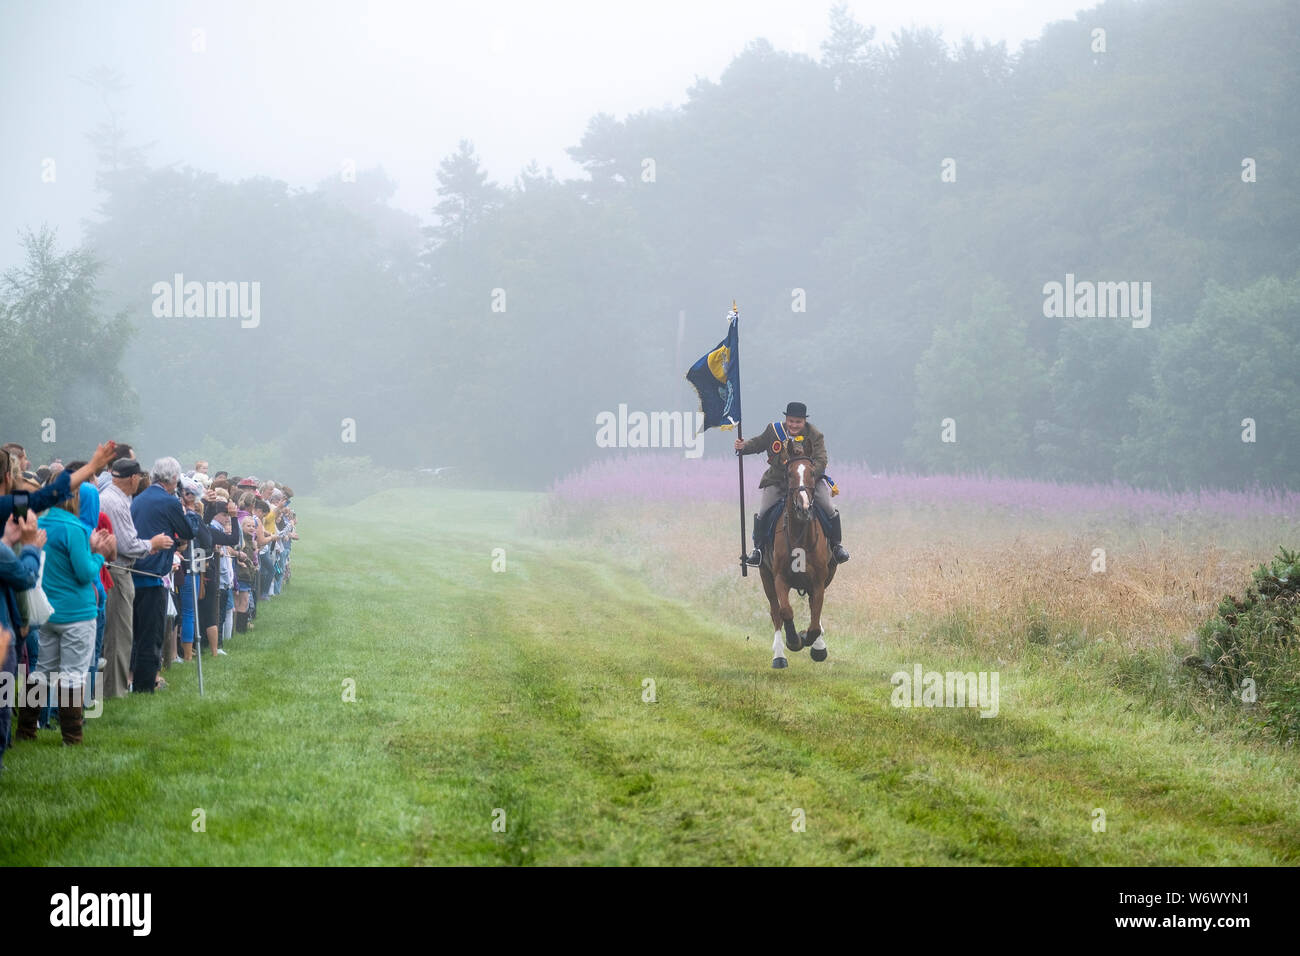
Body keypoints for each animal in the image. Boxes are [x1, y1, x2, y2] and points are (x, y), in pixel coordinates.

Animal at [759, 444, 832, 671]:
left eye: (812, 473)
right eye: (789, 474)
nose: (804, 508)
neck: (800, 536)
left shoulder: (818, 582)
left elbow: (815, 621)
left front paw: (812, 642)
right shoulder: (779, 578)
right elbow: (785, 612)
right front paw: (794, 640)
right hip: (766, 578)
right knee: (775, 612)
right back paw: (779, 656)